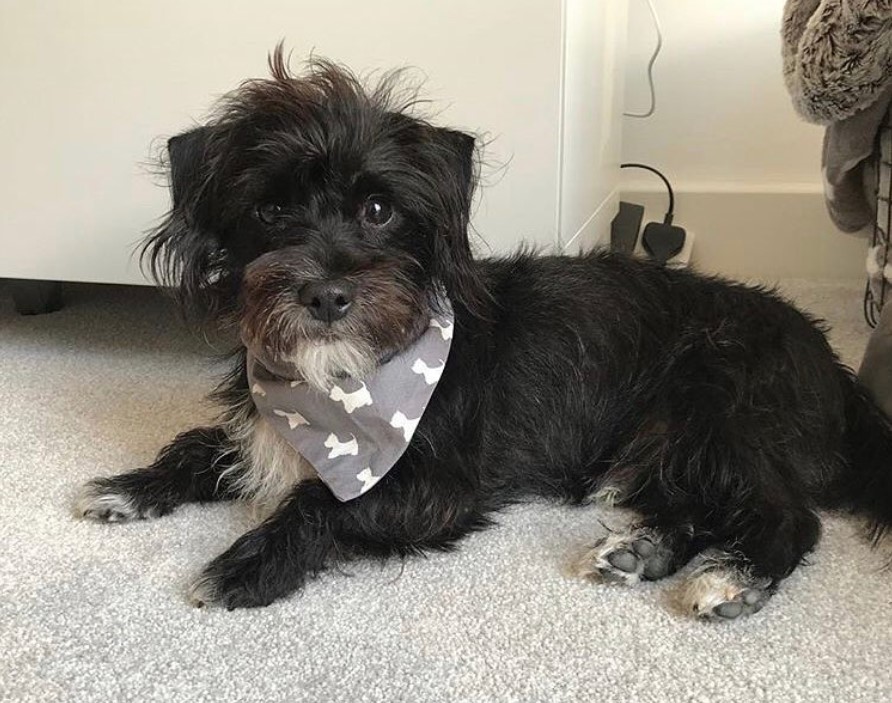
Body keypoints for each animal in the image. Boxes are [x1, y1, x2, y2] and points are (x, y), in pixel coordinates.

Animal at [75, 51, 892, 620]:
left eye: (379, 209)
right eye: (270, 210)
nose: (326, 294)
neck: (344, 379)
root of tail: (836, 373)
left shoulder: (435, 484)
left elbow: (319, 503)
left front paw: (243, 563)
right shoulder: (267, 429)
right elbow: (200, 446)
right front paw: (127, 486)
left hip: (714, 414)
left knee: (787, 516)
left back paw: (730, 576)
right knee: (700, 506)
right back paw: (642, 548)